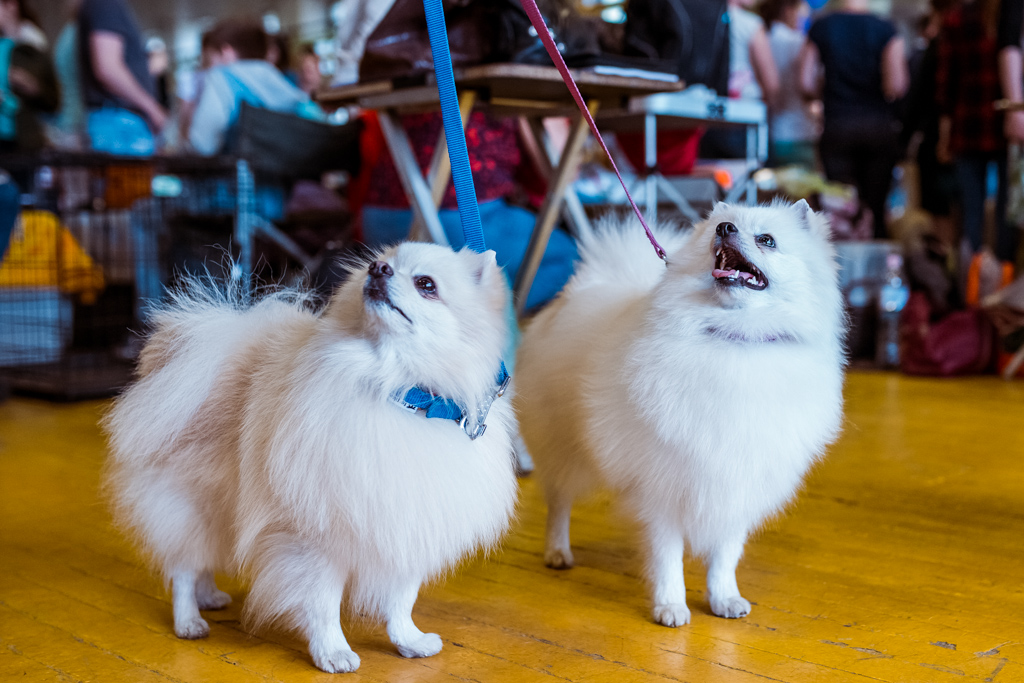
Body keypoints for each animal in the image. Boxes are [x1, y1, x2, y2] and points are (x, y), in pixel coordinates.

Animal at [104, 241, 520, 671]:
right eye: (378, 264)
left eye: (427, 285)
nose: (378, 269)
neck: (400, 390)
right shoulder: (315, 537)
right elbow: (323, 603)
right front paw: (332, 652)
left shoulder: (404, 525)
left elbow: (402, 599)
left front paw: (409, 640)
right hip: (191, 505)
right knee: (185, 567)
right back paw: (189, 619)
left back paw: (210, 596)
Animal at [516, 200, 843, 626]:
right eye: (722, 229)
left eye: (766, 240)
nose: (724, 228)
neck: (735, 337)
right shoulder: (663, 483)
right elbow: (666, 554)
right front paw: (669, 605)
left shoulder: (738, 482)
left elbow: (726, 555)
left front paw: (724, 598)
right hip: (564, 447)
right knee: (558, 503)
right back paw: (557, 552)